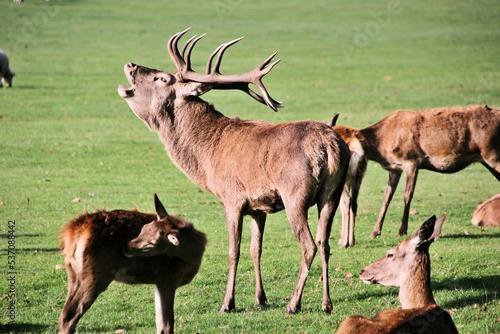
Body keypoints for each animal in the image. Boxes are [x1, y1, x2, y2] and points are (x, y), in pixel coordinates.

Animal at [58, 193, 207, 334]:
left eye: (151, 242)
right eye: (143, 229)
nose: (125, 248)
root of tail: (70, 232)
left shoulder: (159, 282)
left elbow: (160, 323)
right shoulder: (167, 278)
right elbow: (167, 324)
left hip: (74, 273)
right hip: (95, 274)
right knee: (69, 315)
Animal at [118, 28, 350, 314]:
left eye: (161, 78)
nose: (130, 64)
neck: (207, 156)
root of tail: (330, 144)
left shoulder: (232, 198)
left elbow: (233, 251)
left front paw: (228, 303)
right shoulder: (259, 207)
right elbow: (255, 249)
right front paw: (260, 298)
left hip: (295, 194)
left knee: (308, 245)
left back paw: (294, 304)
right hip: (332, 194)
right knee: (324, 243)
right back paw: (326, 304)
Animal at [328, 105, 500, 247]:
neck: (381, 144)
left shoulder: (411, 161)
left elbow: (407, 195)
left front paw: (401, 231)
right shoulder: (394, 168)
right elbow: (387, 197)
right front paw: (374, 232)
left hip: (492, 155)